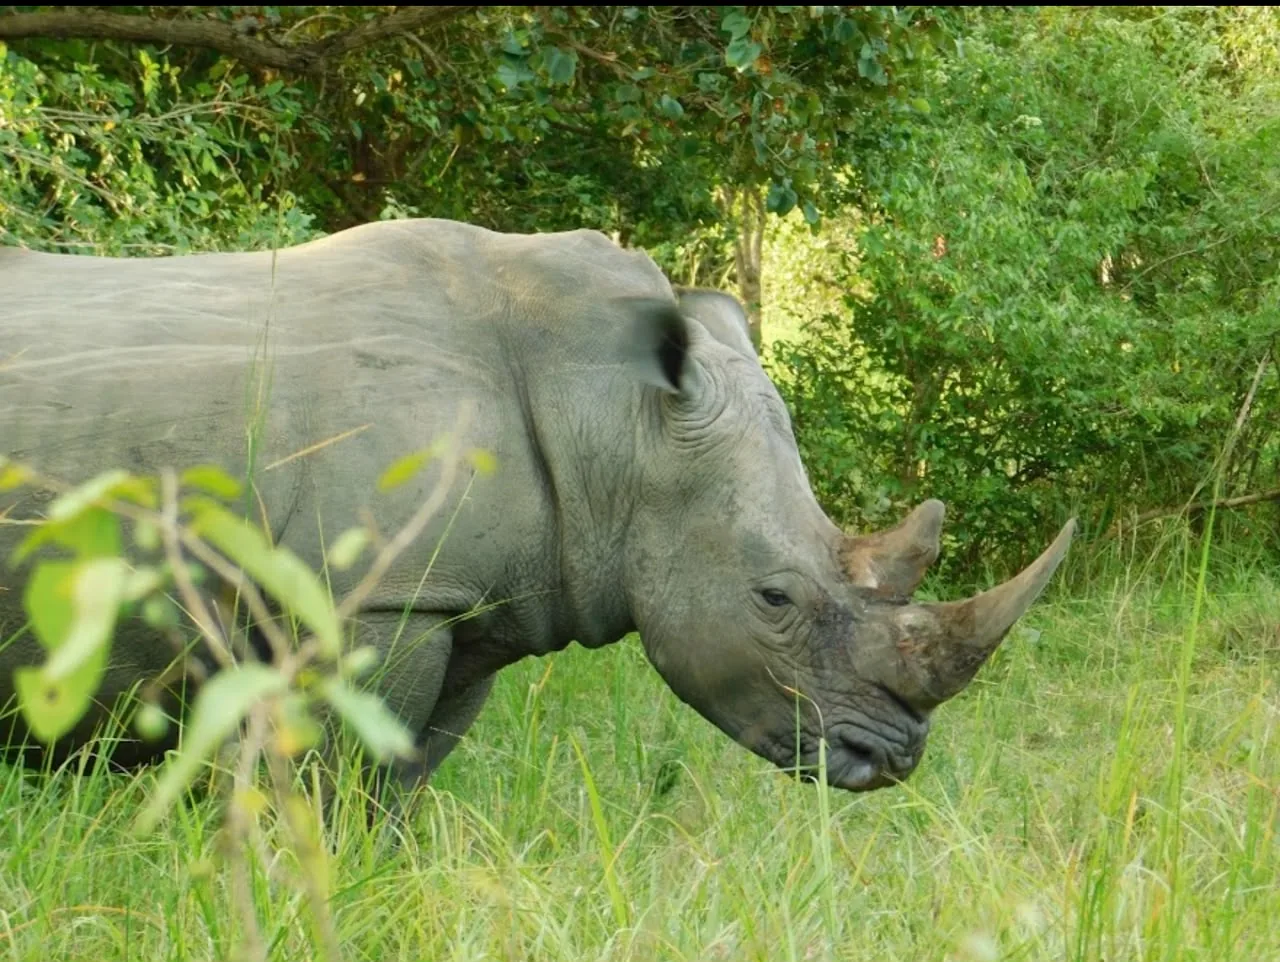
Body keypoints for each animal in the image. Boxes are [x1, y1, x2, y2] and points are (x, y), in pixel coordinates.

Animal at [0, 218, 1074, 796]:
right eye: (773, 600)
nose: (888, 759)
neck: (616, 421)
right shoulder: (377, 596)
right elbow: (338, 778)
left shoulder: (464, 600)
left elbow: (398, 778)